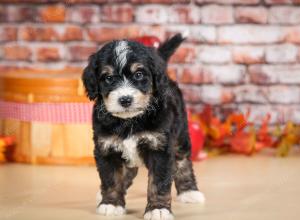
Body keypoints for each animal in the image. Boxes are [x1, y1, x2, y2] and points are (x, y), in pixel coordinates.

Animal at [81, 33, 204, 220]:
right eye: (108, 78)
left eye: (139, 74)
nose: (125, 100)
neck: (129, 120)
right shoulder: (106, 148)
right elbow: (111, 178)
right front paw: (111, 203)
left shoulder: (160, 148)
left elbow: (159, 182)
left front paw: (158, 209)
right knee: (128, 172)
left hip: (180, 134)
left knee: (183, 161)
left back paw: (189, 191)